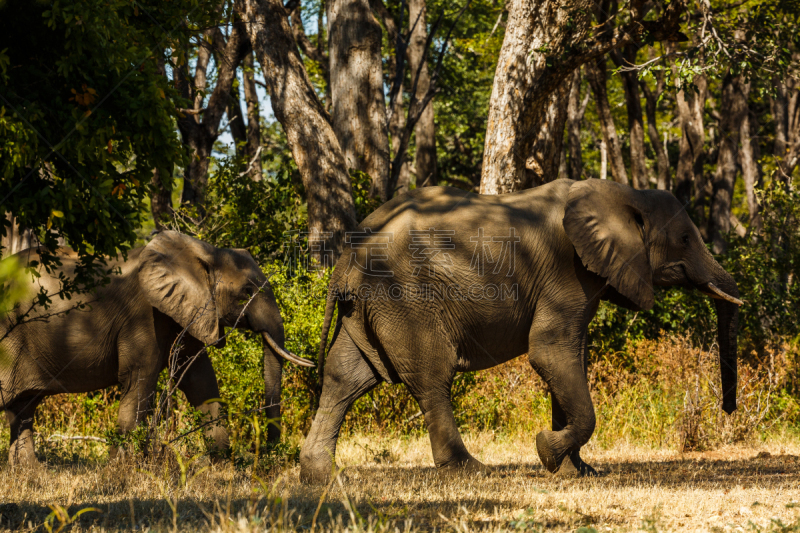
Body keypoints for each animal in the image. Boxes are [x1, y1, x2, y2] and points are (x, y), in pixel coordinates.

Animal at [0, 231, 312, 464]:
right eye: (246, 293)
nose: (267, 451)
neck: (204, 253)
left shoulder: (187, 310)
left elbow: (199, 378)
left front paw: (221, 463)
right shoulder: (143, 314)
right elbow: (140, 379)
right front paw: (121, 470)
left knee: (23, 409)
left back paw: (30, 473)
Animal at [302, 179, 744, 482]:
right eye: (684, 238)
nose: (728, 411)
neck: (624, 191)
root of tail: (348, 251)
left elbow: (571, 357)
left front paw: (577, 472)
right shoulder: (568, 270)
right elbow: (549, 352)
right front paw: (547, 452)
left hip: (368, 304)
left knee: (346, 377)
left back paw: (321, 476)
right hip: (405, 298)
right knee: (431, 376)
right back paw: (469, 470)